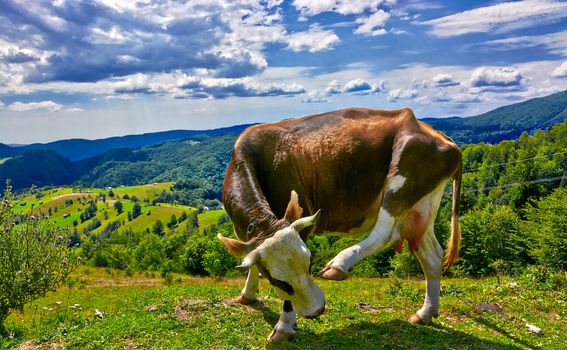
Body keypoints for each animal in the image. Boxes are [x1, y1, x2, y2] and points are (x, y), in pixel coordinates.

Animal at [217, 107, 462, 342]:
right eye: (279, 281)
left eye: (310, 263)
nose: (317, 310)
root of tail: (435, 133)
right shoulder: (247, 235)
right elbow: (250, 262)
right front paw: (247, 294)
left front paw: (284, 326)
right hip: (421, 206)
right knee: (432, 256)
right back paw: (425, 313)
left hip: (402, 176)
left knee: (385, 233)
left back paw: (339, 264)